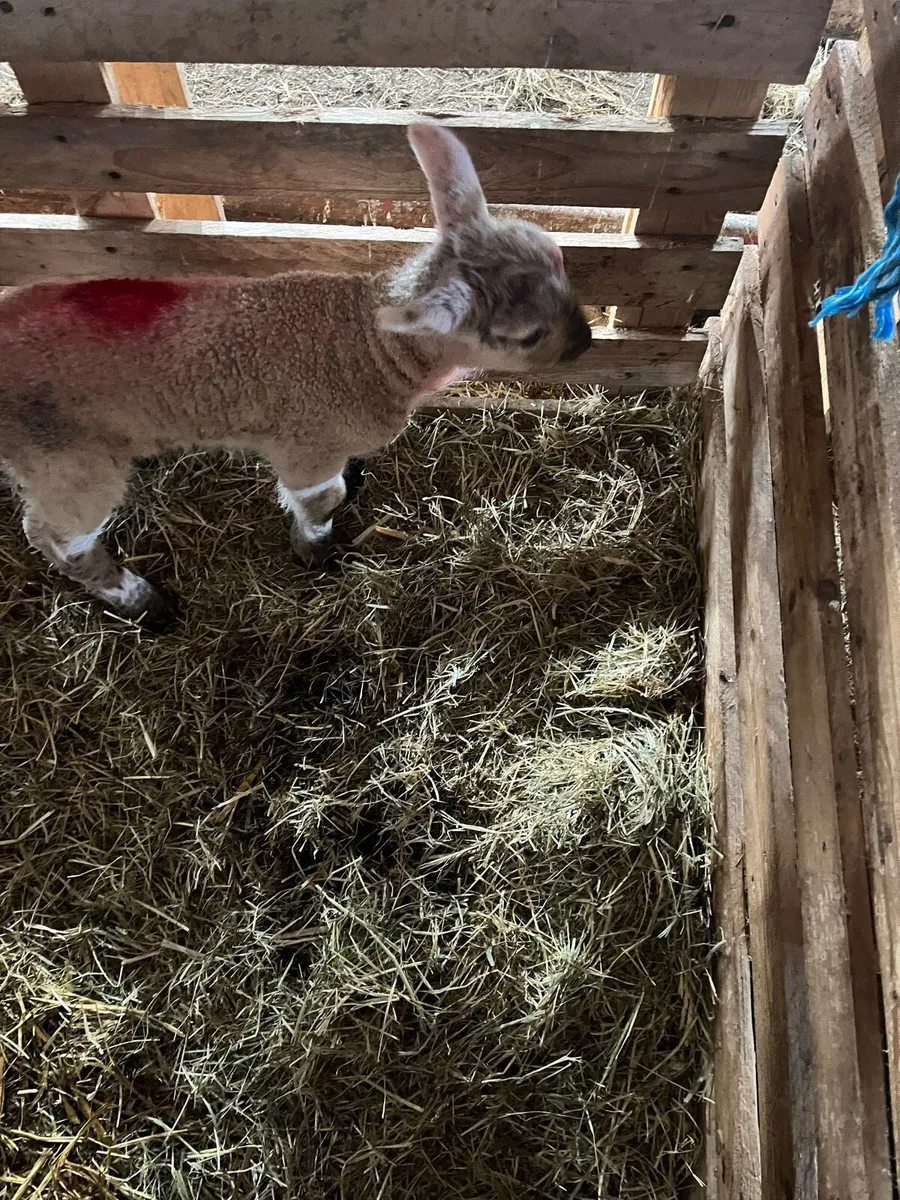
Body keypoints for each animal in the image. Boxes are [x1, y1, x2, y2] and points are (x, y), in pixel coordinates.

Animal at [0, 123, 593, 629]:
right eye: (526, 336)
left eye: (560, 258)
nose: (586, 341)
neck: (365, 344)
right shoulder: (307, 441)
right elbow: (320, 500)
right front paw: (316, 552)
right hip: (64, 456)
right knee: (57, 535)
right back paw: (142, 602)